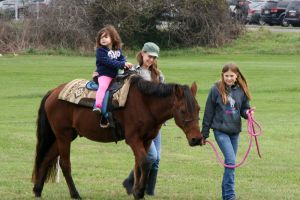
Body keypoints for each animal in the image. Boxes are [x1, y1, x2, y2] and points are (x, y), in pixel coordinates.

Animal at [31, 76, 203, 199]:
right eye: (182, 110)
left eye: (198, 108)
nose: (197, 139)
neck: (145, 104)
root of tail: (54, 92)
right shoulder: (133, 139)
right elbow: (145, 162)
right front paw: (139, 192)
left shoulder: (146, 140)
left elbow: (139, 164)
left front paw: (135, 190)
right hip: (63, 135)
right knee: (65, 164)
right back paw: (75, 194)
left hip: (66, 135)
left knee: (46, 158)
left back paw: (38, 190)